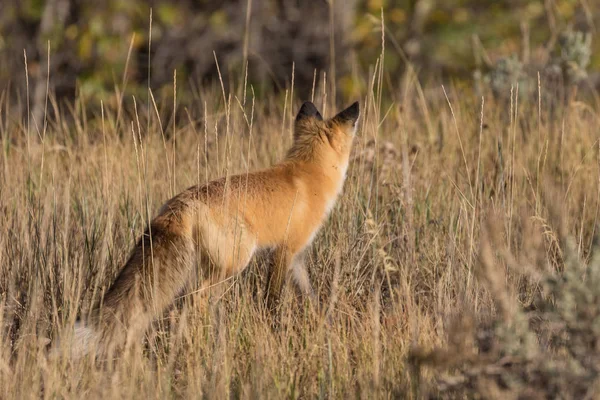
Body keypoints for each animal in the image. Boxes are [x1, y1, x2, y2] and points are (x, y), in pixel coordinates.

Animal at [63, 100, 358, 356]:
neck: (309, 173)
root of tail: (180, 204)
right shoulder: (284, 250)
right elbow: (271, 298)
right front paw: (272, 327)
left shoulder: (296, 258)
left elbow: (312, 297)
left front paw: (326, 323)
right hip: (235, 261)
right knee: (196, 300)